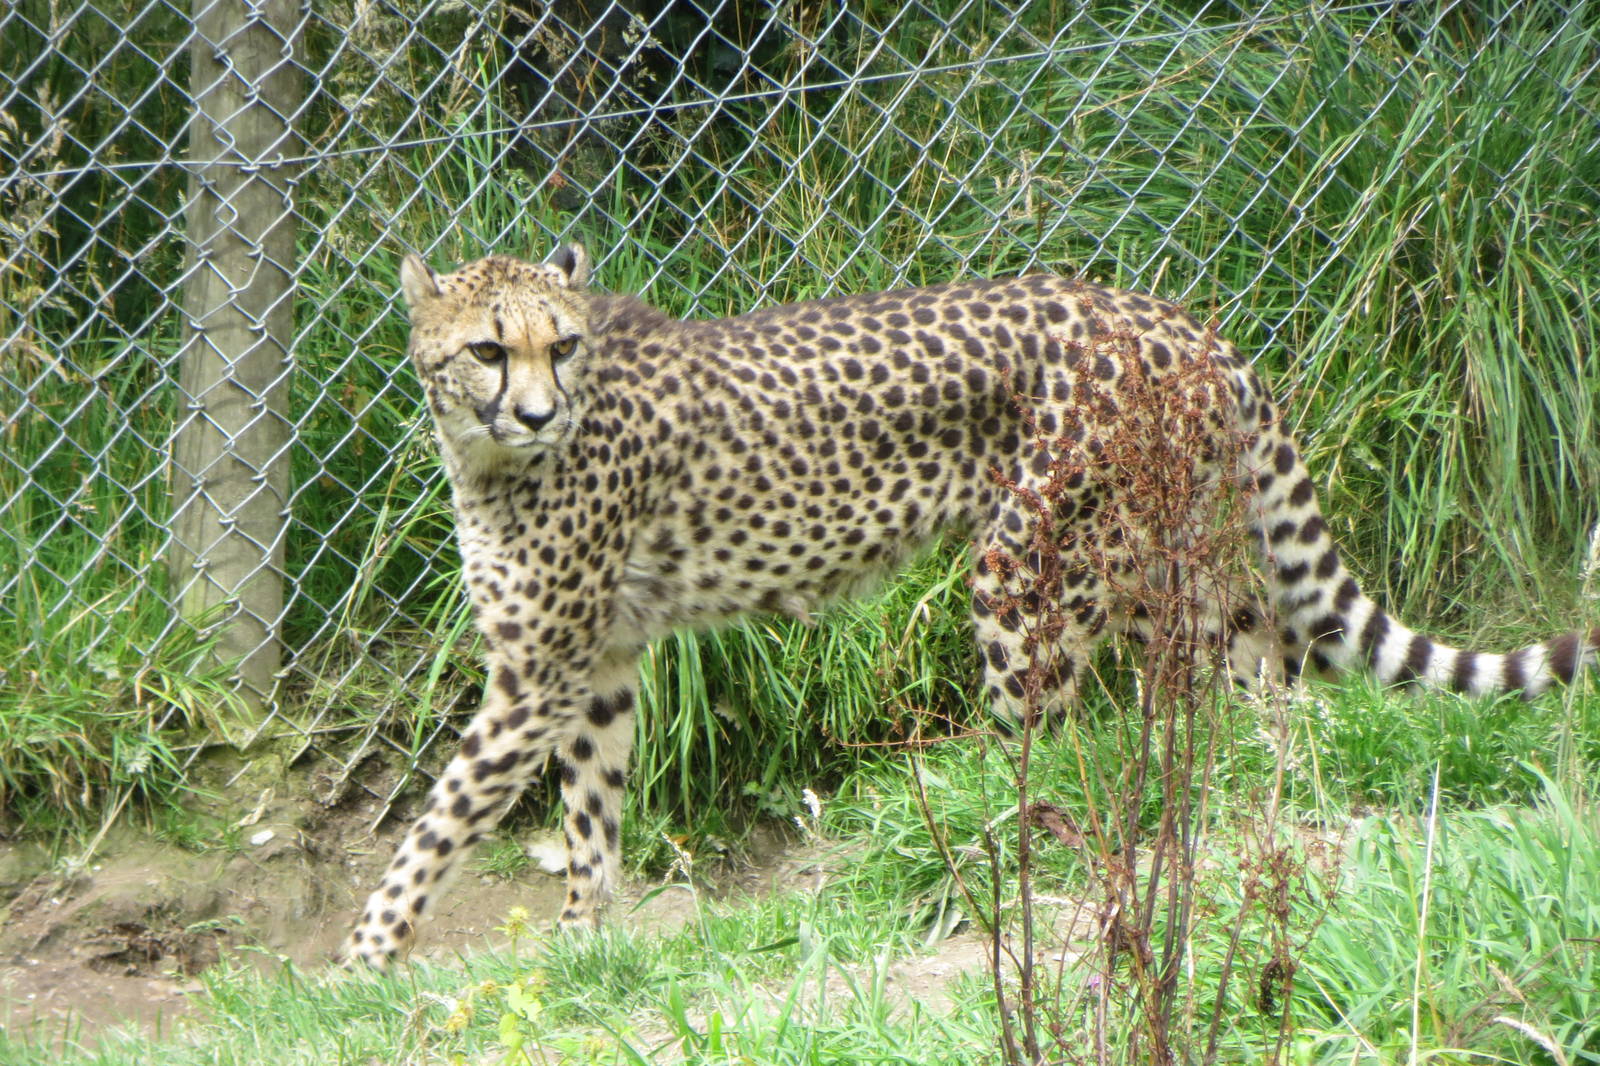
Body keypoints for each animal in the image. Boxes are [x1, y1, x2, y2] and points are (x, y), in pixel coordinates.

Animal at [341, 241, 1599, 968]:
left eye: (561, 345)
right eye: (489, 349)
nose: (538, 412)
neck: (489, 455)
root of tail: (1166, 314)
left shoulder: (536, 674)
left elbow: (436, 821)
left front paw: (362, 965)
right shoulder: (597, 665)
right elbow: (589, 818)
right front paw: (582, 953)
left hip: (1033, 565)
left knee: (1071, 740)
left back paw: (985, 852)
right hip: (1158, 552)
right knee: (1257, 670)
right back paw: (1270, 795)